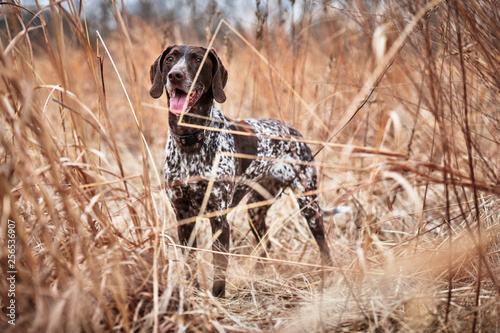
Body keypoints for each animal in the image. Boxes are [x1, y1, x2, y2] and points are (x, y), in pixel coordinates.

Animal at [149, 44, 336, 296]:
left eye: (198, 59)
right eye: (170, 58)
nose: (175, 75)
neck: (191, 140)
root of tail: (293, 131)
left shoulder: (219, 219)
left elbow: (219, 270)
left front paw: (217, 300)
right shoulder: (183, 216)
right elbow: (190, 264)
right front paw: (192, 295)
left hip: (309, 205)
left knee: (323, 245)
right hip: (255, 210)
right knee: (265, 243)